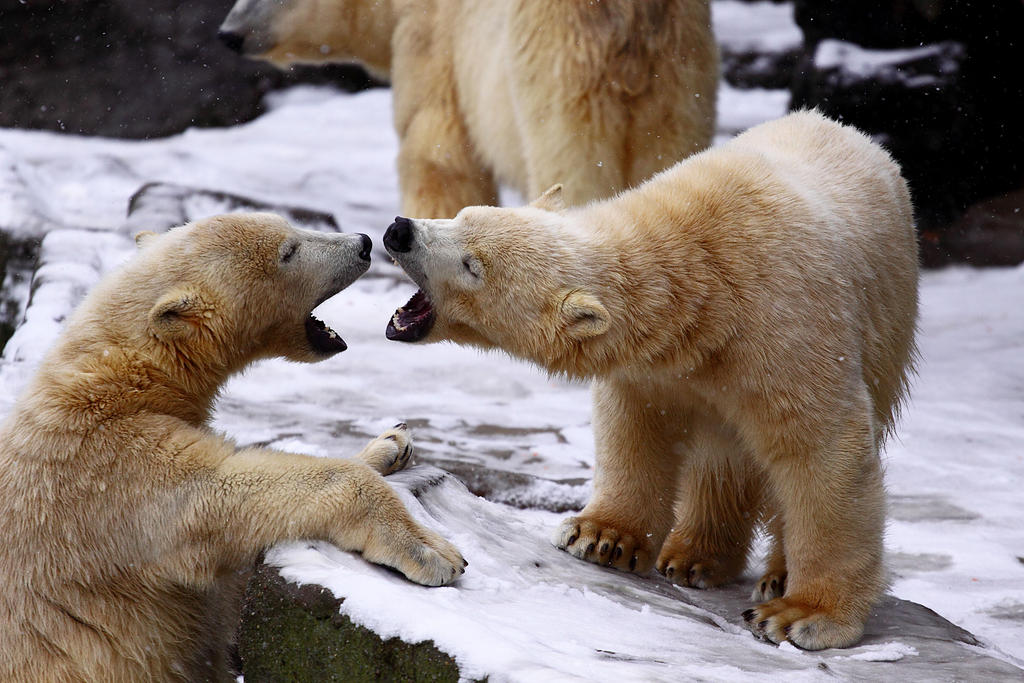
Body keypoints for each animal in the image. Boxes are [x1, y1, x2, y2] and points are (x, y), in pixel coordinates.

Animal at [0, 215, 464, 683]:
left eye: (291, 228)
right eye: (289, 251)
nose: (364, 243)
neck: (120, 378)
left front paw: (390, 444)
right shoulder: (110, 474)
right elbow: (225, 492)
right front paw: (434, 553)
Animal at [382, 112, 921, 651]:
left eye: (474, 265)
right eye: (460, 217)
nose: (399, 229)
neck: (707, 280)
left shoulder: (788, 326)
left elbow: (821, 450)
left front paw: (802, 615)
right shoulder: (660, 366)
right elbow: (636, 425)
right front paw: (600, 537)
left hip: (888, 322)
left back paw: (774, 575)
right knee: (722, 454)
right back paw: (692, 555)